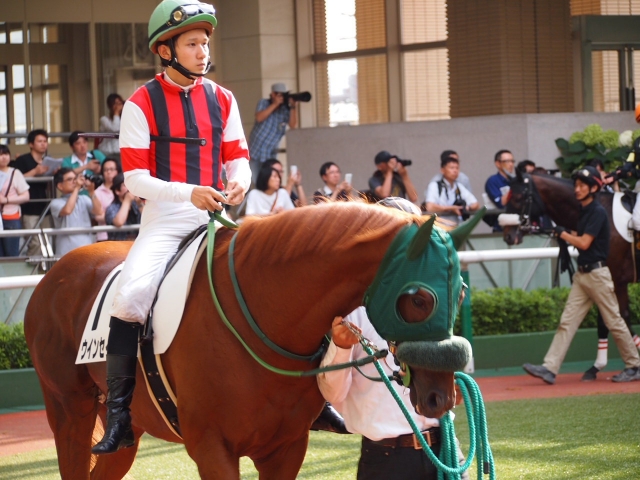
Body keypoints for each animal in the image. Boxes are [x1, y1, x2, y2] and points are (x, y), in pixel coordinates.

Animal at [23, 203, 476, 480]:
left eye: (461, 293)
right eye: (419, 297)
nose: (440, 397)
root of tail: (53, 274)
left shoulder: (287, 447)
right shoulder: (211, 447)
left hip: (125, 433)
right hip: (69, 410)